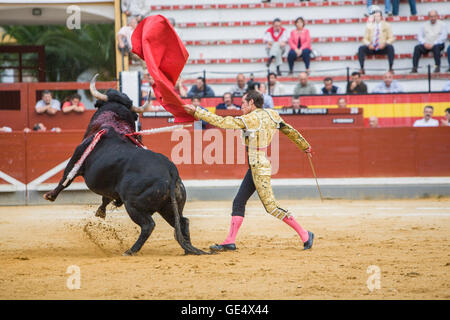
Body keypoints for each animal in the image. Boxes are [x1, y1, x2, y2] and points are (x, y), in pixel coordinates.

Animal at [43, 87, 208, 255]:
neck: (114, 122)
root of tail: (171, 170)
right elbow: (106, 198)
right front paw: (101, 211)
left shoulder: (77, 157)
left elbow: (66, 178)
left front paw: (50, 195)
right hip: (168, 206)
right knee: (183, 222)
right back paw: (188, 249)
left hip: (133, 204)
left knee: (149, 225)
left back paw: (131, 250)